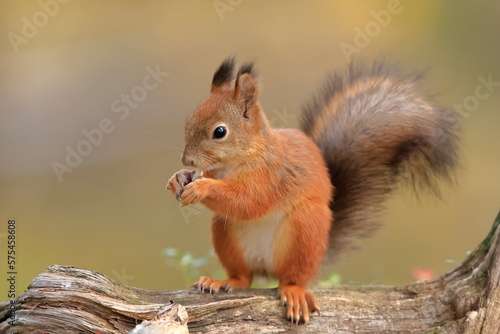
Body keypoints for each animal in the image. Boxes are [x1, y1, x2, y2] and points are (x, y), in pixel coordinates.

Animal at [166, 57, 458, 324]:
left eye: (220, 132)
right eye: (189, 120)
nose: (186, 160)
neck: (240, 158)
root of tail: (266, 266)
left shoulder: (272, 176)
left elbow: (248, 201)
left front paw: (200, 187)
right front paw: (178, 179)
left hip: (305, 231)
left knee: (291, 278)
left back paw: (293, 292)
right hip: (226, 234)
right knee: (244, 277)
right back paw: (221, 281)